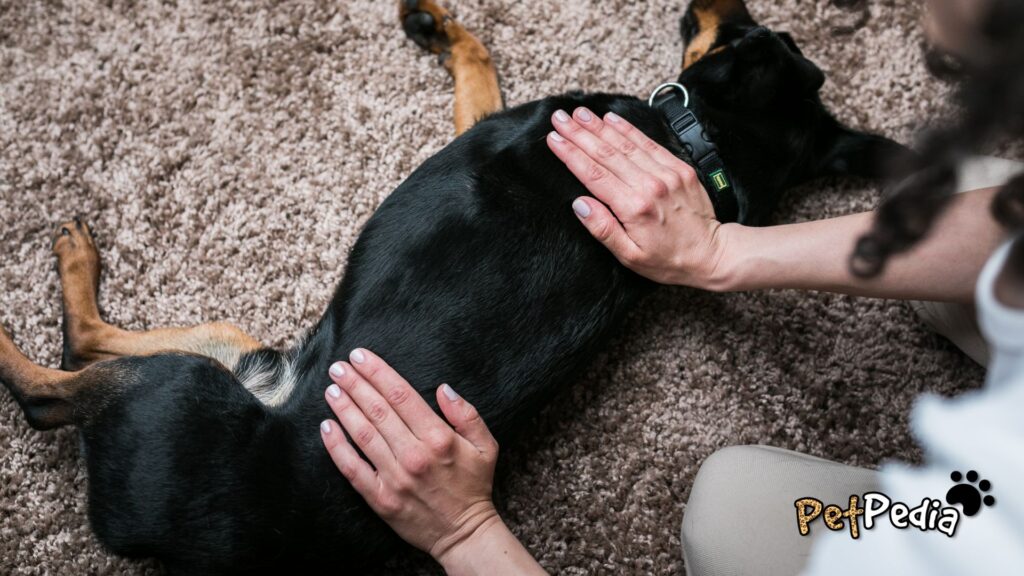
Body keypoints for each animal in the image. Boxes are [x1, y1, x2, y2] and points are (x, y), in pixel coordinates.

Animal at [0, 0, 913, 569]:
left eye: (753, 28)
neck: (696, 143)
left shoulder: (492, 122)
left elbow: (476, 61)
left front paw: (434, 26)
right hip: (240, 352)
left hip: (176, 389)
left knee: (53, 382)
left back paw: (50, 290)